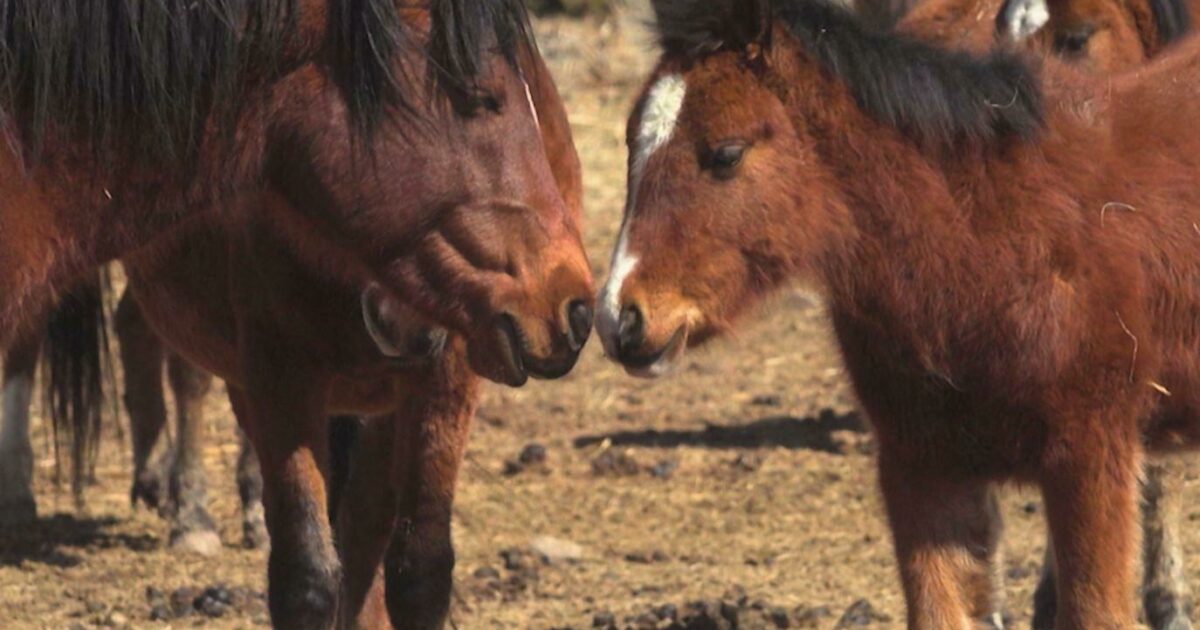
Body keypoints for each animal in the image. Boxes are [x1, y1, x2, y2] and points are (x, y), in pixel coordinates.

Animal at [47, 3, 589, 627]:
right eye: (477, 99)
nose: (571, 312)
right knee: (184, 373)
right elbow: (306, 571)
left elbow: (414, 565)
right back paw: (188, 508)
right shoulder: (281, 372)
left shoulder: (443, 377)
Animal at [598, 0, 1200, 627]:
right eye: (630, 144)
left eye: (726, 154)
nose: (621, 319)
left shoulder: (1090, 454)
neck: (986, 240)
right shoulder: (922, 468)